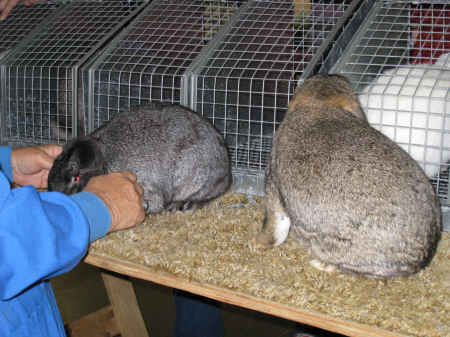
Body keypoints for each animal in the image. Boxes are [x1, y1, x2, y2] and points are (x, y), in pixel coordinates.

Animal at [251, 73, 442, 278]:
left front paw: (257, 243)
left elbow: (275, 224)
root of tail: (420, 257)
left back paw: (321, 265)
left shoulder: (273, 183)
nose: (336, 75)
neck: (319, 105)